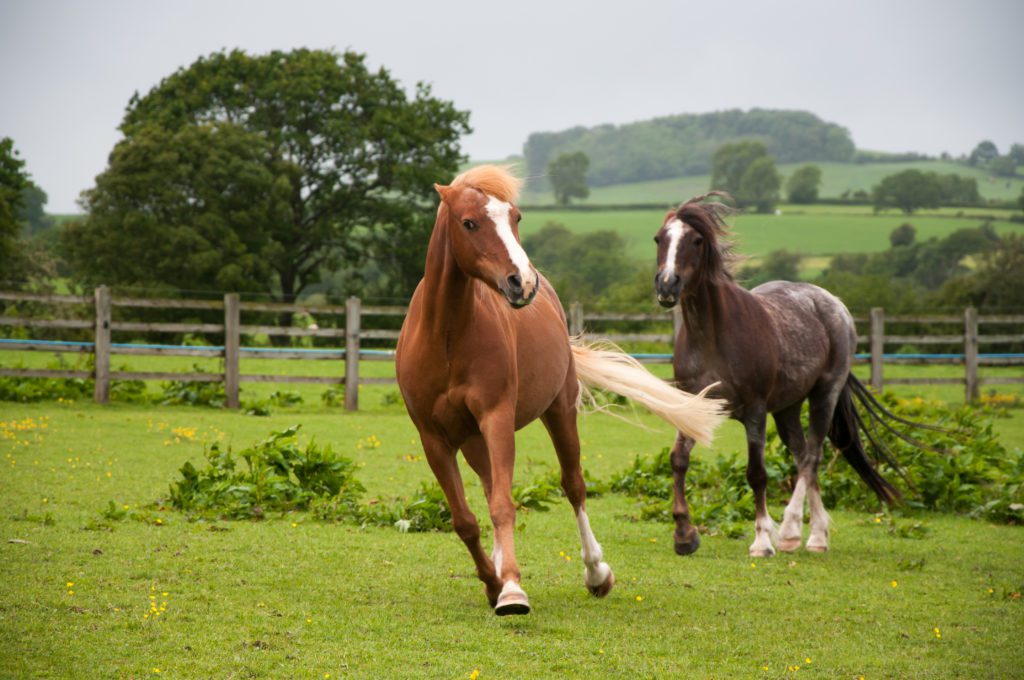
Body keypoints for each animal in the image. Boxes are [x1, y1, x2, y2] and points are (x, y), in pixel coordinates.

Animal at [395, 166, 726, 615]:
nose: (522, 282)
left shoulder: (497, 417)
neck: (445, 336)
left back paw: (596, 574)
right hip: (473, 440)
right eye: (469, 223)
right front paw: (493, 582)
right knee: (491, 486)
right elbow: (465, 519)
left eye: (516, 217)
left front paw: (512, 590)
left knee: (573, 487)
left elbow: (504, 506)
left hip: (558, 412)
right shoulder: (433, 439)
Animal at [652, 193, 903, 558]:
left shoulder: (755, 411)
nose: (667, 284)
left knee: (812, 455)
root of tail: (833, 303)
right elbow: (678, 460)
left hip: (824, 395)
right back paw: (815, 535)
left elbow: (757, 473)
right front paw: (685, 535)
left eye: (697, 240)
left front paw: (761, 540)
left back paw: (791, 531)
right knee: (801, 457)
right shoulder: (692, 404)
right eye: (659, 238)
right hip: (787, 409)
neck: (711, 336)